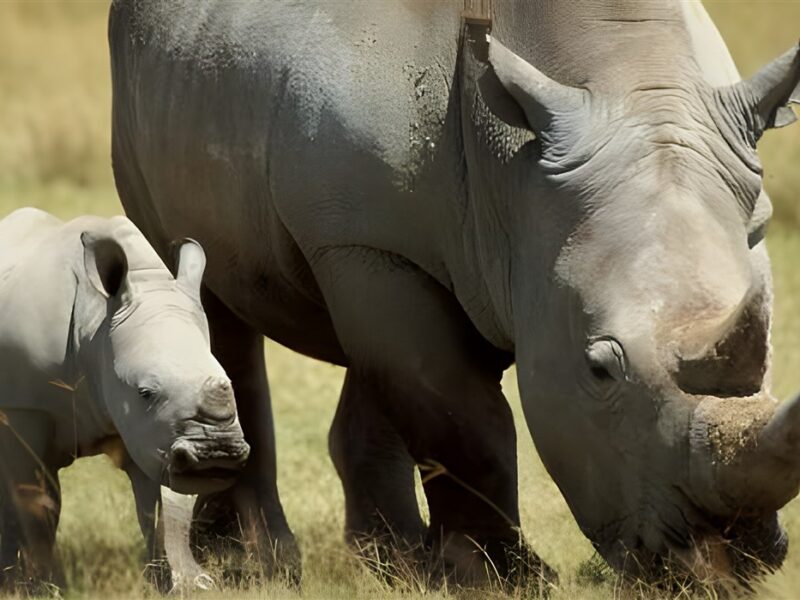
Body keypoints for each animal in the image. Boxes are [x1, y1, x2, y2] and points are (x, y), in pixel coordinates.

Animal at [0, 208, 249, 590]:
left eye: (228, 383)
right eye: (145, 392)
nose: (217, 453)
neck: (96, 324)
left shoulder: (159, 433)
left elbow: (168, 502)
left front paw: (187, 583)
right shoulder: (24, 407)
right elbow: (35, 502)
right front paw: (37, 586)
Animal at [108, 0, 800, 587]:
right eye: (600, 369)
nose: (728, 564)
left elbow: (426, 389)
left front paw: (442, 571)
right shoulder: (367, 242)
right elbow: (460, 414)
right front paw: (500, 579)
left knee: (373, 360)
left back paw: (391, 563)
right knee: (212, 300)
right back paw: (254, 567)